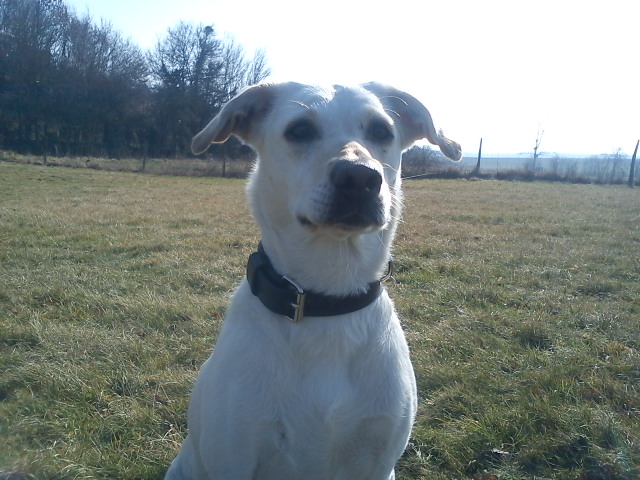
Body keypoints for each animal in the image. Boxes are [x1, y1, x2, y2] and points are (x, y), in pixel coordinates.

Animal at [165, 83, 460, 480]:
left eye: (382, 131)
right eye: (300, 130)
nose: (360, 178)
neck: (327, 298)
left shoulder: (379, 459)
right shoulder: (235, 455)